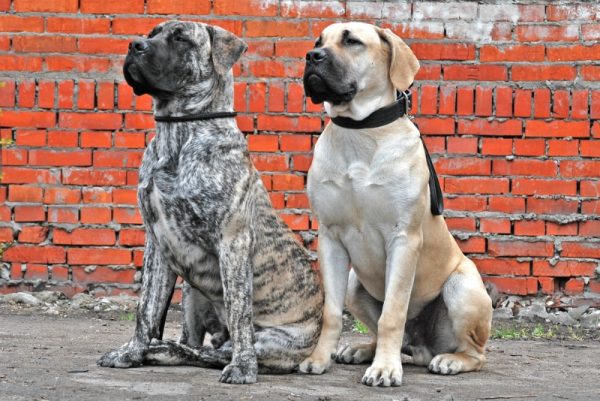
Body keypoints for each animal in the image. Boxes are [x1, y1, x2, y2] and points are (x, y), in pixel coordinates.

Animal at [300, 21, 492, 384]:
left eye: (351, 41)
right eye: (319, 40)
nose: (312, 56)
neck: (360, 131)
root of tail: (421, 347)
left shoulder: (403, 239)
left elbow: (393, 312)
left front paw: (386, 369)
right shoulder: (330, 238)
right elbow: (331, 313)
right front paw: (318, 358)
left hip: (462, 287)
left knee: (475, 353)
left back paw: (450, 360)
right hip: (354, 283)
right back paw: (363, 350)